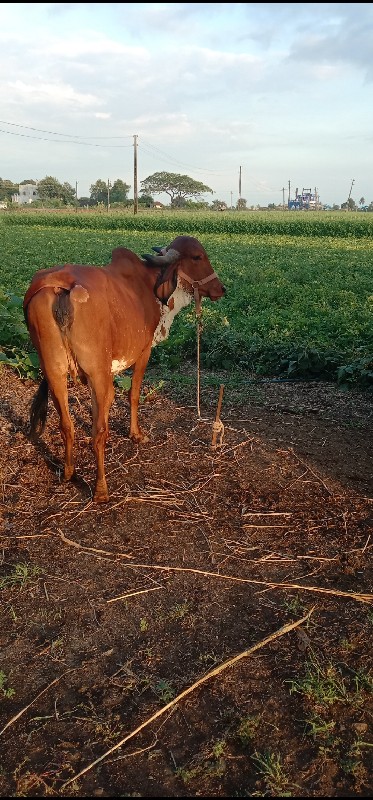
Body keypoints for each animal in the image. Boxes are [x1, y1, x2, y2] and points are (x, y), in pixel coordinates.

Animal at [24, 234, 227, 504]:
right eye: (197, 257)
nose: (221, 289)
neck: (150, 282)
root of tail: (61, 289)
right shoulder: (143, 352)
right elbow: (133, 395)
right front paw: (136, 434)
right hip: (97, 375)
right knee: (98, 433)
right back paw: (101, 489)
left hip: (54, 371)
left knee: (66, 425)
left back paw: (69, 473)